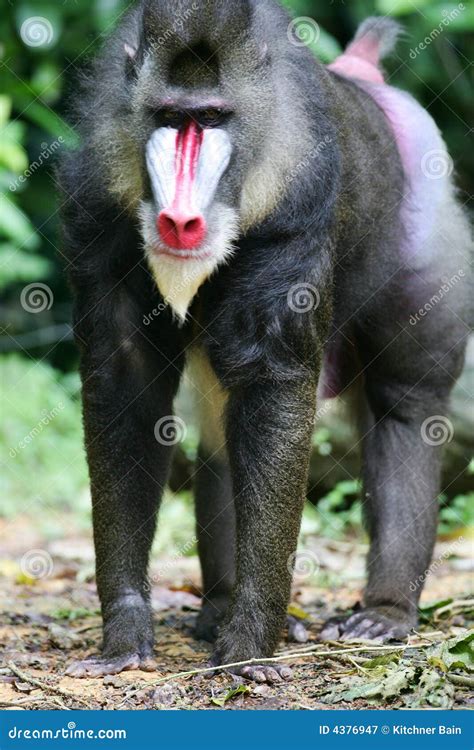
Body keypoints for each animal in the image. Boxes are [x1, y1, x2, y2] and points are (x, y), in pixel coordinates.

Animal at [59, 1, 472, 682]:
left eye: (211, 119)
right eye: (168, 118)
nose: (179, 221)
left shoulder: (297, 208)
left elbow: (273, 381)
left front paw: (252, 643)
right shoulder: (98, 208)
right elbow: (127, 387)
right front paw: (125, 633)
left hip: (425, 242)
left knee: (407, 409)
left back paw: (383, 612)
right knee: (223, 436)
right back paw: (219, 610)